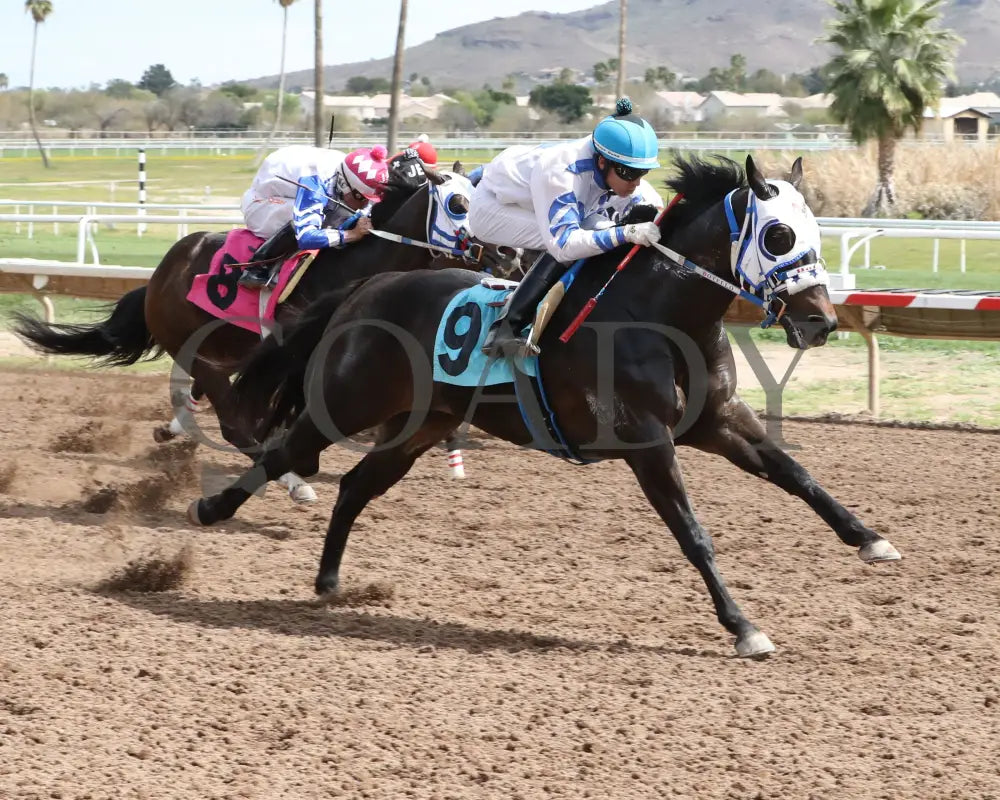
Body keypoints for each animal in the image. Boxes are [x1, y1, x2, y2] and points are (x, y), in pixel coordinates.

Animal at [186, 155, 900, 656]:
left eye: (816, 230)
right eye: (777, 236)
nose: (819, 322)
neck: (660, 316)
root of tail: (371, 284)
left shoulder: (718, 421)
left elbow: (796, 474)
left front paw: (870, 539)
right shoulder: (647, 441)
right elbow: (694, 534)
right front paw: (744, 626)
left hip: (424, 421)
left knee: (356, 484)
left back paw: (330, 581)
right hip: (350, 400)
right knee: (285, 451)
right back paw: (211, 509)